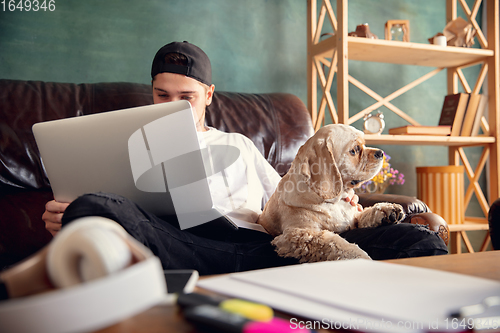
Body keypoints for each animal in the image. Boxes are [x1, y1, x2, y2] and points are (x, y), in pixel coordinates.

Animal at [260, 123, 404, 260]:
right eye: (354, 150)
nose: (381, 153)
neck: (334, 202)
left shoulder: (354, 218)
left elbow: (366, 213)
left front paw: (388, 210)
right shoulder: (297, 235)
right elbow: (335, 244)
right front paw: (361, 257)